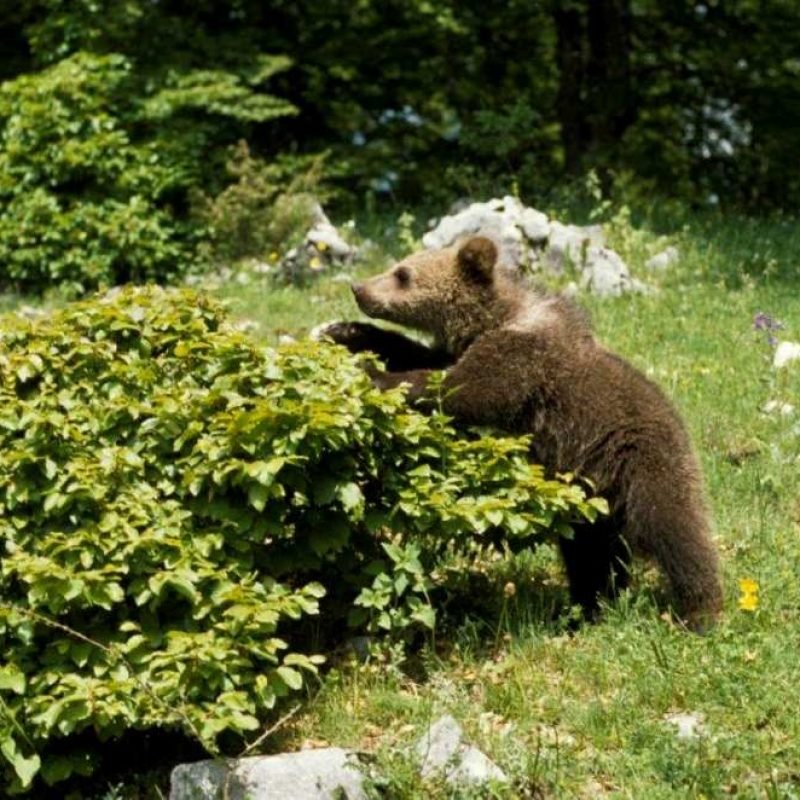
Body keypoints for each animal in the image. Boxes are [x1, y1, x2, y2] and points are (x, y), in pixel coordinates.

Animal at [320, 234, 724, 628]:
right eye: (398, 265)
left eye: (403, 274)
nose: (359, 288)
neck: (495, 317)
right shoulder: (467, 348)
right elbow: (425, 356)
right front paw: (348, 332)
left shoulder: (521, 357)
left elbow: (462, 388)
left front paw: (376, 375)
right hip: (588, 496)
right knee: (589, 551)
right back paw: (589, 606)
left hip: (644, 461)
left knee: (675, 529)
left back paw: (699, 611)